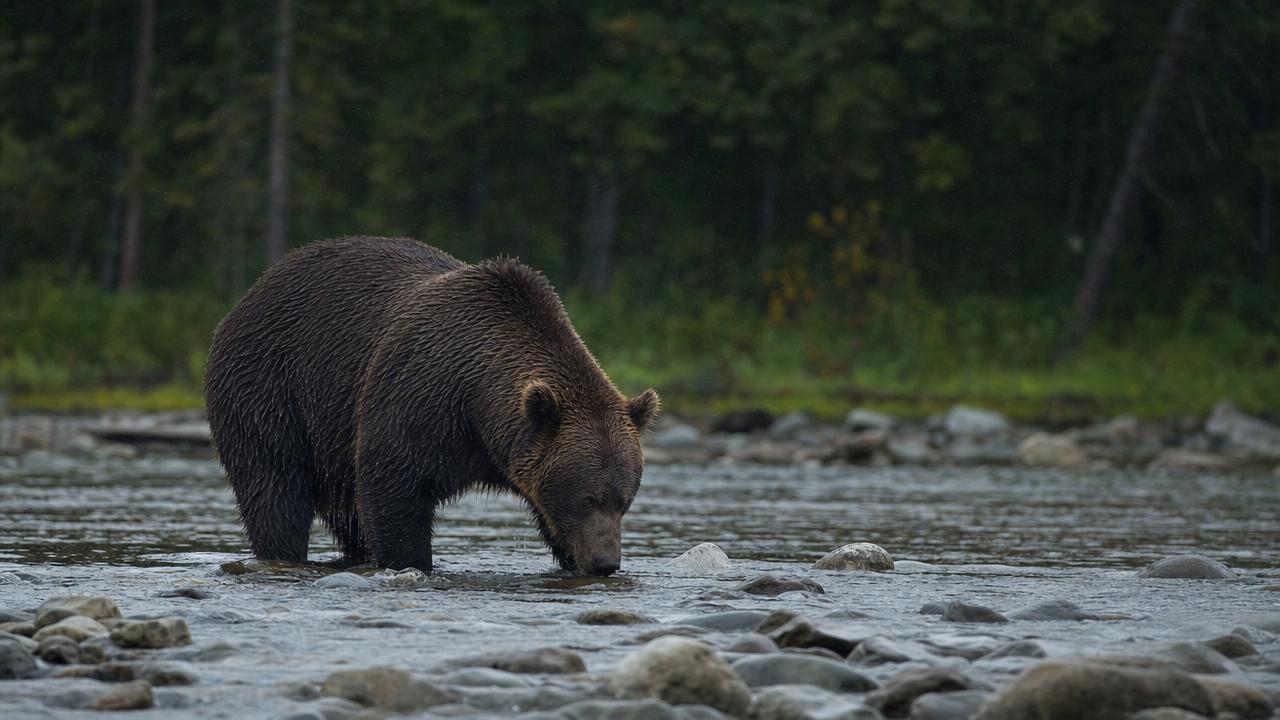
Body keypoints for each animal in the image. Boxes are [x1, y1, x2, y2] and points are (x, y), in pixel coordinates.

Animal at [204, 237, 659, 576]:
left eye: (624, 499)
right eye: (588, 498)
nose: (605, 563)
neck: (479, 408)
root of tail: (251, 292)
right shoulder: (422, 397)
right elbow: (394, 485)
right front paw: (412, 562)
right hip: (270, 387)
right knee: (274, 487)